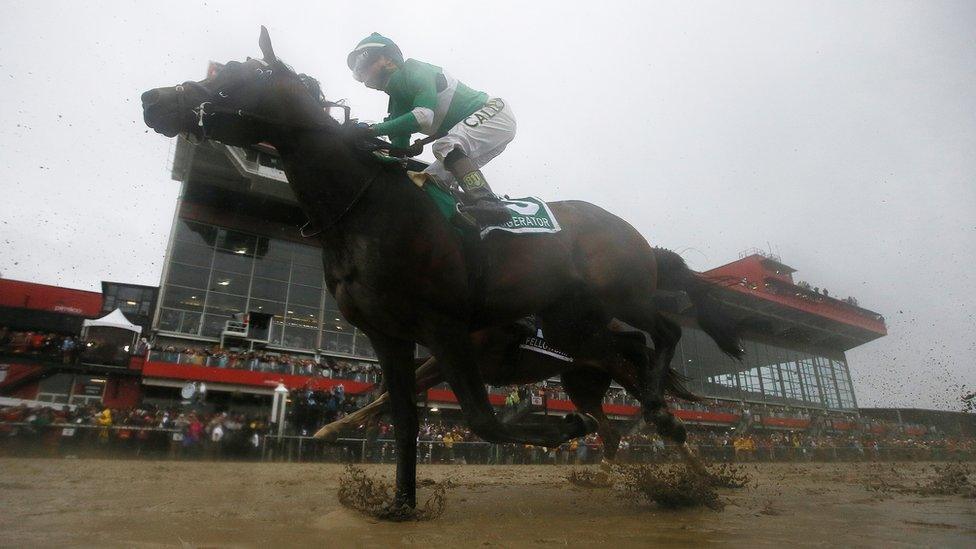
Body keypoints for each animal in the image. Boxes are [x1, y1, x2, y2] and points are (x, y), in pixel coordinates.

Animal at [143, 28, 740, 510]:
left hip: (621, 296)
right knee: (633, 358)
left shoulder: (446, 330)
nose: (153, 98)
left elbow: (483, 420)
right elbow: (401, 412)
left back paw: (679, 446)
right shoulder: (389, 335)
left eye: (236, 77)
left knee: (664, 338)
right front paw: (397, 501)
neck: (364, 207)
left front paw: (557, 426)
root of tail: (636, 235)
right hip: (577, 334)